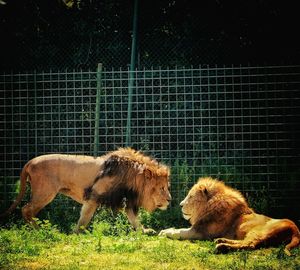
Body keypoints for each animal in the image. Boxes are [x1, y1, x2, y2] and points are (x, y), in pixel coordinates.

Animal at [0, 147, 171, 233]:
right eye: (162, 188)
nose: (170, 200)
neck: (133, 177)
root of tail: (30, 162)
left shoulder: (125, 200)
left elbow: (134, 219)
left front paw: (144, 230)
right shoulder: (93, 196)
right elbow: (84, 218)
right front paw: (77, 234)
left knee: (29, 211)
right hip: (45, 193)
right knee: (26, 210)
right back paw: (43, 232)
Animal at [158, 177, 298, 255]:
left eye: (191, 197)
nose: (180, 205)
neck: (209, 206)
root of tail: (295, 230)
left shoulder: (201, 232)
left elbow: (179, 232)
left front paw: (164, 232)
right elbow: (178, 229)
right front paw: (166, 230)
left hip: (258, 232)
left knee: (250, 244)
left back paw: (221, 247)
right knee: (245, 242)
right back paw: (221, 241)